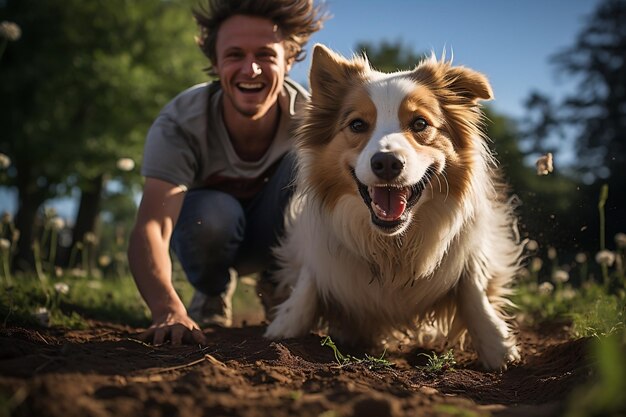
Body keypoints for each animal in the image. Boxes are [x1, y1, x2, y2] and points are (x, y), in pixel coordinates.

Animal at [264, 44, 520, 368]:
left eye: (420, 123)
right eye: (357, 124)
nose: (386, 163)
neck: (393, 246)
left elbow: (473, 285)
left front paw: (497, 346)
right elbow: (309, 281)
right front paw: (283, 330)